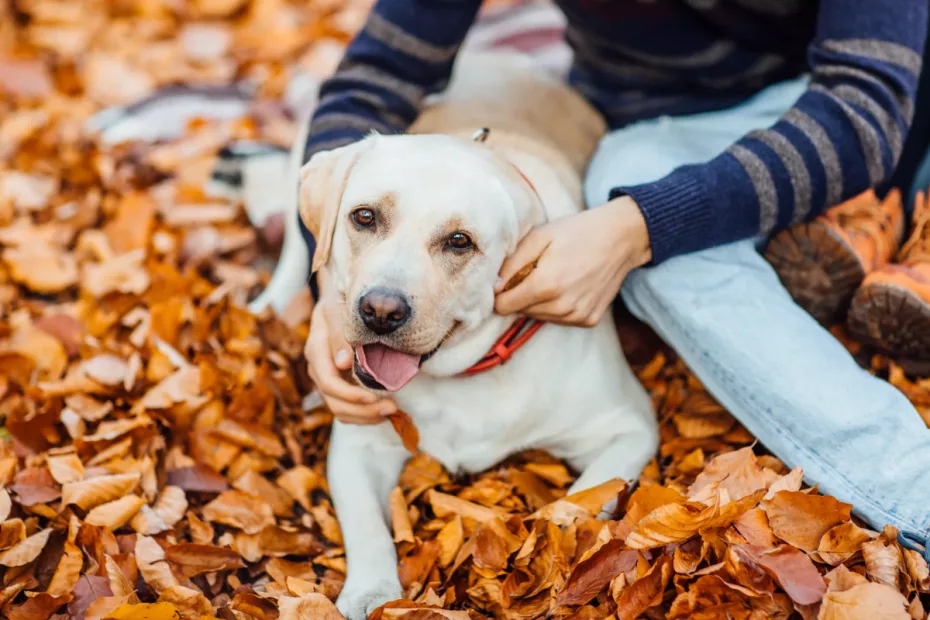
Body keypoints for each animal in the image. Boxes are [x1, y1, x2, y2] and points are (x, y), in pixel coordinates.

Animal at [258, 53, 656, 620]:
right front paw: (372, 592)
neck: (463, 373)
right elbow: (366, 526)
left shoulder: (629, 426)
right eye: (364, 216)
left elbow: (579, 501)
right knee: (298, 245)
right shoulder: (359, 441)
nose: (380, 311)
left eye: (459, 242)